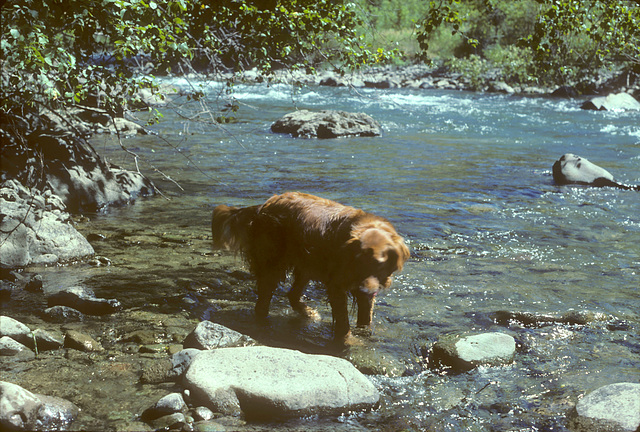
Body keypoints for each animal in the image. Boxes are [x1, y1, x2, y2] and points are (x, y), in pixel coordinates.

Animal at [211, 192, 410, 344]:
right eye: (358, 261)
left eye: (378, 264)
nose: (362, 290)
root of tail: (263, 206)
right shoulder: (337, 285)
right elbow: (343, 320)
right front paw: (348, 341)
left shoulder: (366, 289)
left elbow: (365, 317)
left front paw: (365, 334)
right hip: (274, 264)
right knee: (263, 302)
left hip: (306, 264)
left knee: (292, 294)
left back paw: (308, 313)